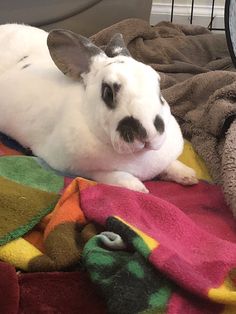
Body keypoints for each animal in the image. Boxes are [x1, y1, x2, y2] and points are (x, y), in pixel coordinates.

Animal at [0, 23, 198, 193]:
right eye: (108, 92)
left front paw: (189, 176)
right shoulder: (78, 167)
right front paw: (137, 188)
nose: (147, 132)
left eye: (159, 86)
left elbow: (169, 165)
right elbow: (110, 176)